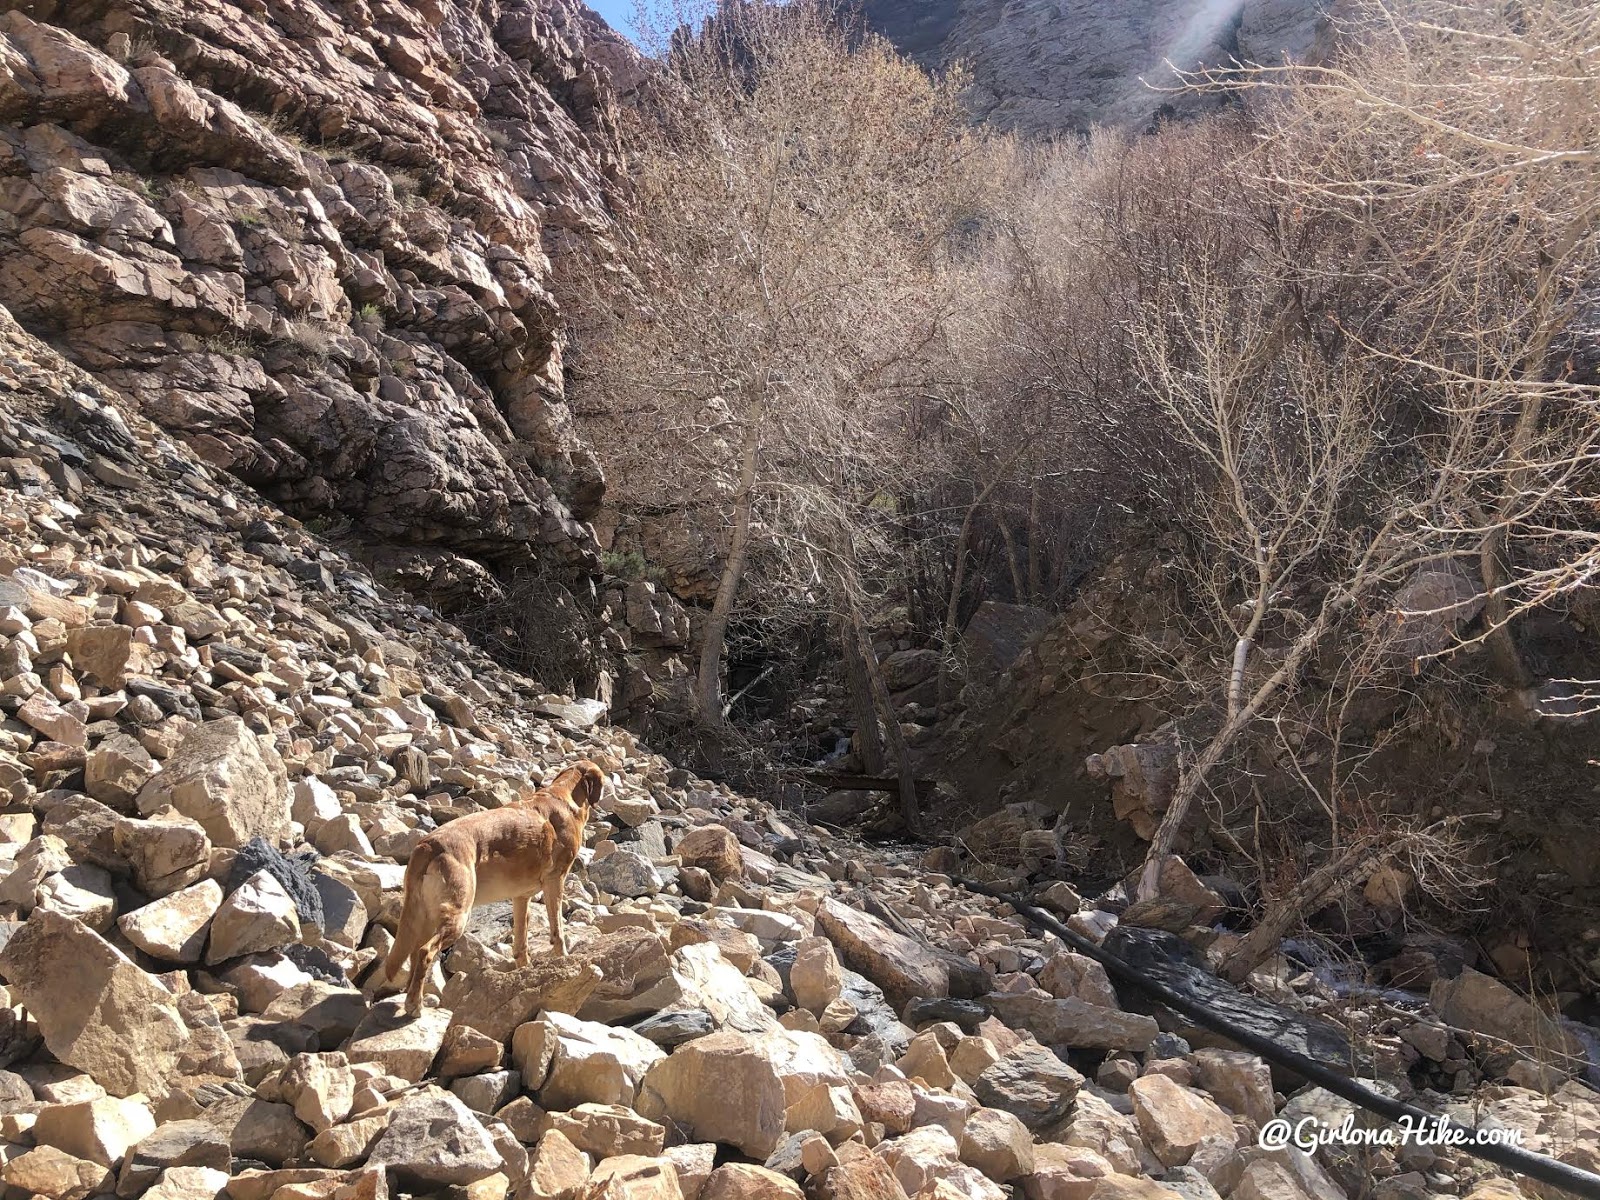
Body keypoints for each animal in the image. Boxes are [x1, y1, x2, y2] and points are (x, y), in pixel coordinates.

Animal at [377, 761, 601, 1017]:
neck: (564, 795)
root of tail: (427, 845)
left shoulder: (521, 897)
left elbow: (521, 942)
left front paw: (525, 973)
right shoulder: (556, 881)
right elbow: (558, 932)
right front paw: (563, 959)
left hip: (424, 915)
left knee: (415, 953)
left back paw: (411, 997)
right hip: (458, 913)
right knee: (425, 952)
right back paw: (415, 1005)